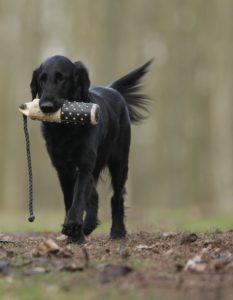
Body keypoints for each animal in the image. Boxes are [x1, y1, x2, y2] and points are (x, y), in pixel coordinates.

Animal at [29, 55, 153, 244]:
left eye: (61, 78)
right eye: (42, 79)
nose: (46, 106)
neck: (66, 129)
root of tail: (112, 89)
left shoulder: (84, 164)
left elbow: (79, 197)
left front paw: (73, 228)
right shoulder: (62, 168)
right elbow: (71, 198)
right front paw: (74, 233)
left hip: (119, 161)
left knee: (116, 197)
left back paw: (118, 231)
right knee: (94, 195)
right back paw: (88, 225)